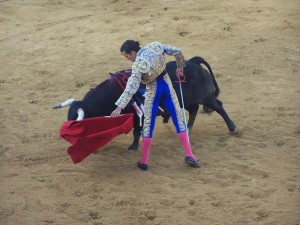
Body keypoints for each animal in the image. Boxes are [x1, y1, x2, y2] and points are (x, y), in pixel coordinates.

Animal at [53, 56, 241, 151]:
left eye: (78, 125)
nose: (71, 142)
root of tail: (193, 62)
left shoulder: (138, 116)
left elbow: (136, 132)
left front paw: (133, 147)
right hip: (186, 100)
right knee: (193, 110)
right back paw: (188, 128)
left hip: (205, 98)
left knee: (219, 107)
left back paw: (233, 128)